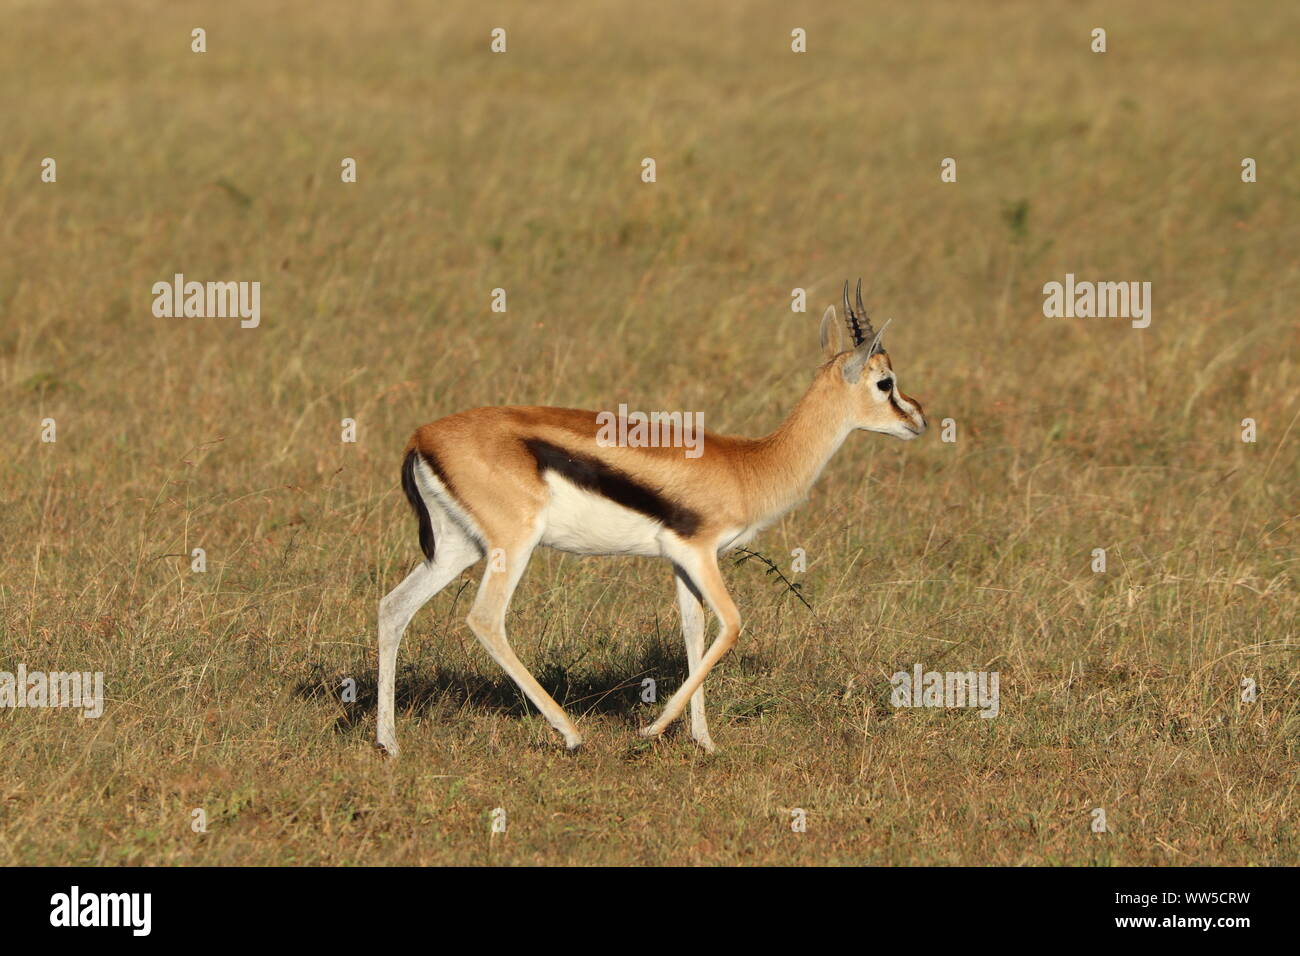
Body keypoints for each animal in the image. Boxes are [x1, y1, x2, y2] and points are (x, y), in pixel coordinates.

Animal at [376, 281, 927, 756]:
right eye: (885, 382)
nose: (919, 418)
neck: (749, 466)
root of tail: (421, 436)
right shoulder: (700, 553)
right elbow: (731, 624)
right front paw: (650, 729)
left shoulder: (681, 560)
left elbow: (694, 632)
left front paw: (703, 741)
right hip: (512, 544)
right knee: (485, 619)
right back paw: (571, 734)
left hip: (458, 548)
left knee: (393, 608)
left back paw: (389, 743)